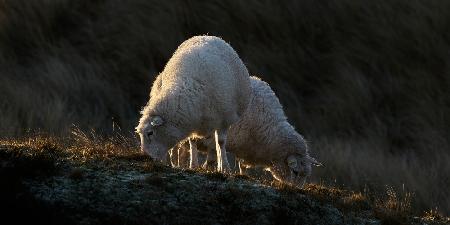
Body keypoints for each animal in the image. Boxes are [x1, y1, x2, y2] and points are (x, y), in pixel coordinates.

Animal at [135, 35, 251, 172]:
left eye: (150, 133)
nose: (146, 157)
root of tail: (207, 36)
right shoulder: (191, 119)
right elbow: (192, 141)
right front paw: (193, 164)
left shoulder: (224, 119)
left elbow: (221, 142)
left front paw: (224, 168)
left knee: (216, 143)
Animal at [171, 76, 322, 187]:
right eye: (295, 172)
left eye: (305, 175)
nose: (298, 189)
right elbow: (214, 156)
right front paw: (209, 168)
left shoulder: (244, 146)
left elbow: (240, 164)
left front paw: (242, 174)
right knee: (188, 144)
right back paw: (185, 164)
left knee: (178, 148)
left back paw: (178, 164)